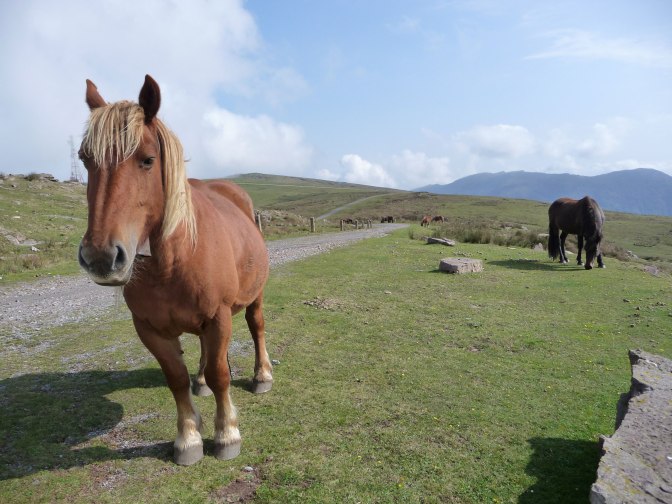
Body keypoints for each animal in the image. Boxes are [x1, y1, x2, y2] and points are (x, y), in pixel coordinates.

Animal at [77, 75, 273, 466]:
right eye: (84, 159)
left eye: (147, 160)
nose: (101, 257)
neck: (170, 264)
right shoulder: (149, 329)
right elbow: (176, 378)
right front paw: (189, 438)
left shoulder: (218, 317)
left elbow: (221, 374)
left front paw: (227, 434)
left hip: (254, 297)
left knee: (256, 328)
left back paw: (261, 376)